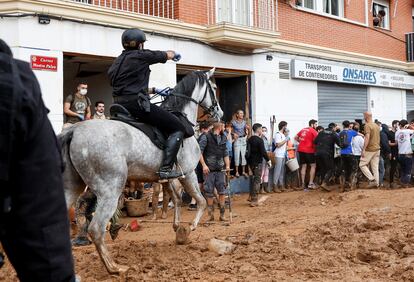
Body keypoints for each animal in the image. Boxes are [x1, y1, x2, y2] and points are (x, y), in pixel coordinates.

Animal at [58, 68, 223, 274]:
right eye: (214, 87)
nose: (219, 113)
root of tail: (73, 131)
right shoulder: (189, 172)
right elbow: (200, 201)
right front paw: (189, 228)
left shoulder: (168, 177)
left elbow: (176, 199)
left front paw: (177, 227)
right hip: (110, 189)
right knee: (96, 228)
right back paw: (114, 267)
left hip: (73, 186)